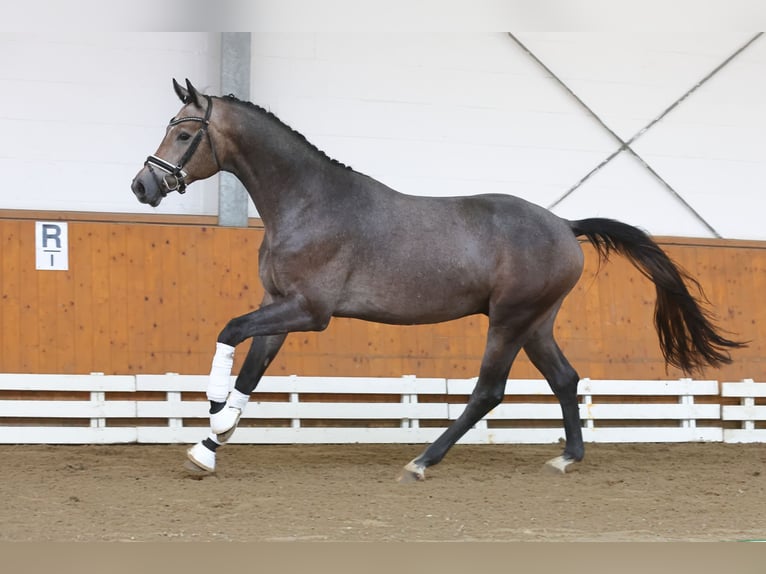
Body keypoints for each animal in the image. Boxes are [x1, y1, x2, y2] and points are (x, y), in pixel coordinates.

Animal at [130, 77, 744, 482]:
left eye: (183, 133)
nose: (142, 186)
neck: (308, 202)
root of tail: (564, 226)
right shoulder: (279, 304)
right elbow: (253, 368)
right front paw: (211, 441)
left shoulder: (309, 311)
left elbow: (231, 332)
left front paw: (214, 414)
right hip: (536, 323)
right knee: (565, 379)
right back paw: (566, 457)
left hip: (510, 320)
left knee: (489, 391)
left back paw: (423, 461)